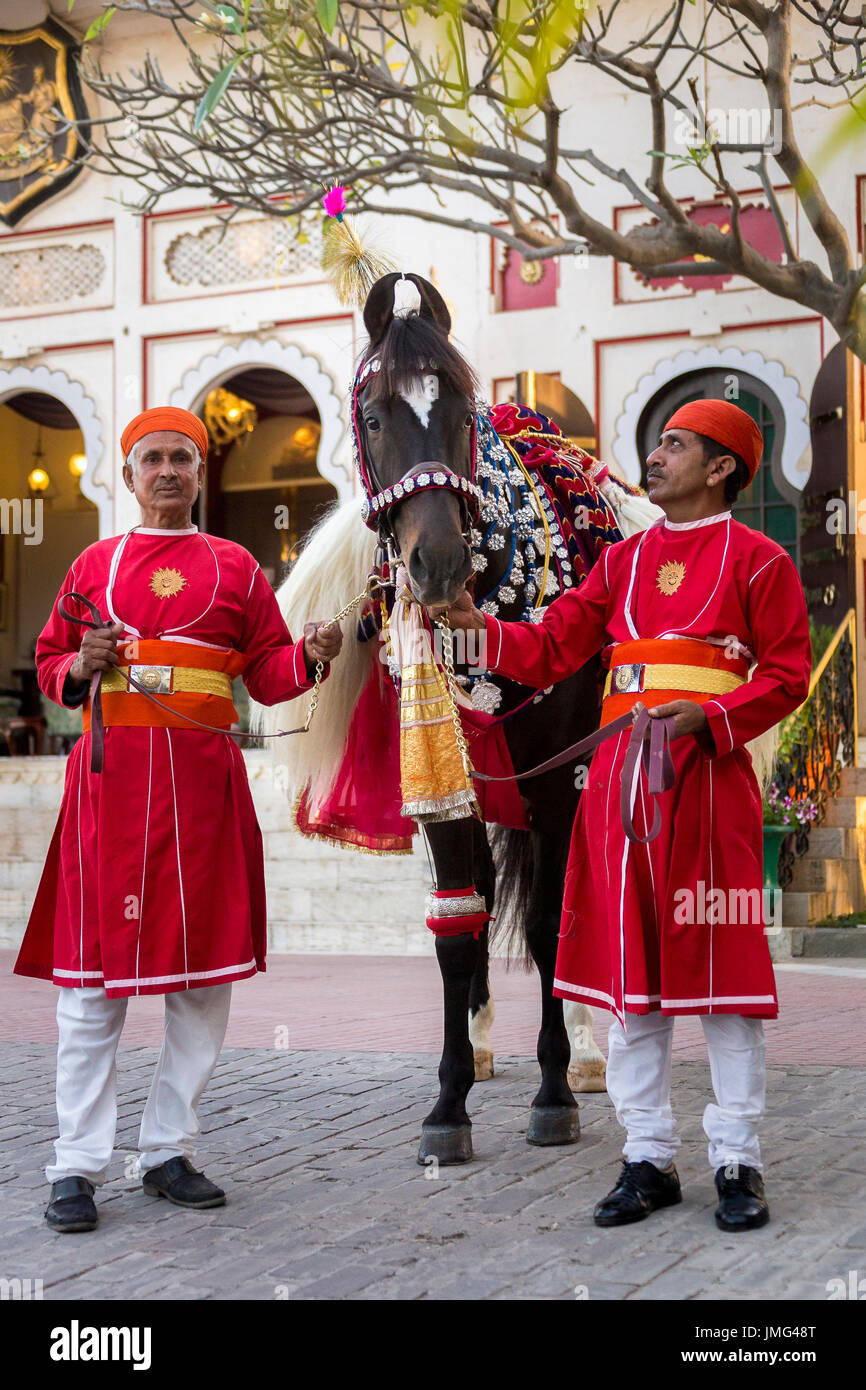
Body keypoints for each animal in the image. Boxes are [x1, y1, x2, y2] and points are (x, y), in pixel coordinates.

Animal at [254, 268, 661, 1162]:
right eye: (373, 416)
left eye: (464, 412)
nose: (434, 564)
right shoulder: (448, 781)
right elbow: (456, 927)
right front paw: (448, 1102)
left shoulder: (559, 781)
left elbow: (547, 924)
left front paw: (554, 1091)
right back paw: (478, 1042)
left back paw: (587, 1054)